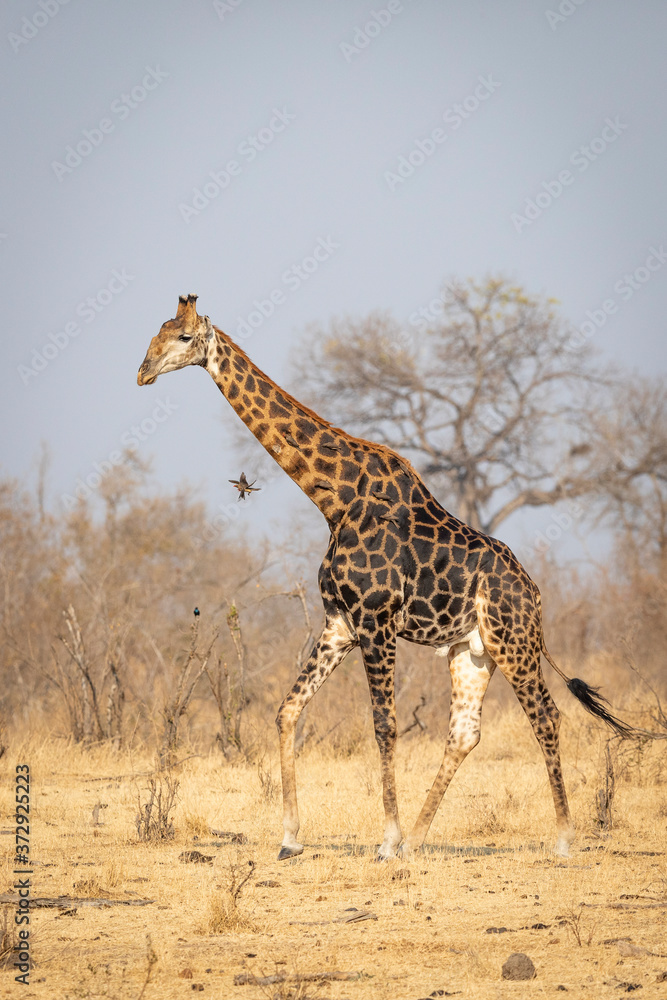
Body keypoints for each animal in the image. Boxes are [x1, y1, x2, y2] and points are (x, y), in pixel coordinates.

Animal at [138, 294, 643, 861]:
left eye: (184, 338)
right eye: (157, 331)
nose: (143, 372)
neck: (333, 500)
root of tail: (534, 594)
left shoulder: (376, 621)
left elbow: (384, 726)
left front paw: (385, 840)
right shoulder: (341, 622)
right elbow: (288, 710)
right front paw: (291, 838)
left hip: (512, 642)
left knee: (546, 716)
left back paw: (560, 840)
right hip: (472, 650)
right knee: (464, 732)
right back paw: (420, 839)